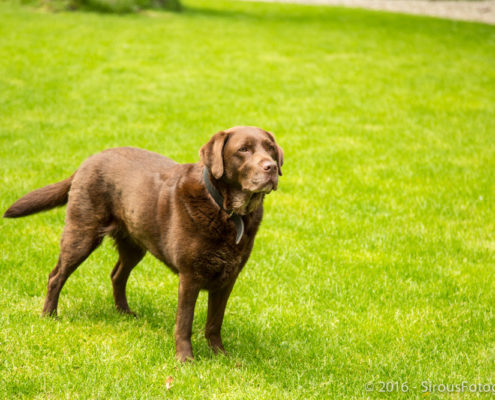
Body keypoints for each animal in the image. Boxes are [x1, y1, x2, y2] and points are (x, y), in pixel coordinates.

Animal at [4, 126, 283, 361]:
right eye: (243, 149)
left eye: (270, 148)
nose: (271, 167)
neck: (227, 211)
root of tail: (89, 160)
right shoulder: (190, 276)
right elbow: (185, 322)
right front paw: (185, 360)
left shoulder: (228, 277)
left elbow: (215, 322)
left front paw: (220, 355)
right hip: (81, 235)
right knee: (56, 275)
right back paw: (49, 315)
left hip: (134, 243)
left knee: (117, 274)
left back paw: (123, 313)